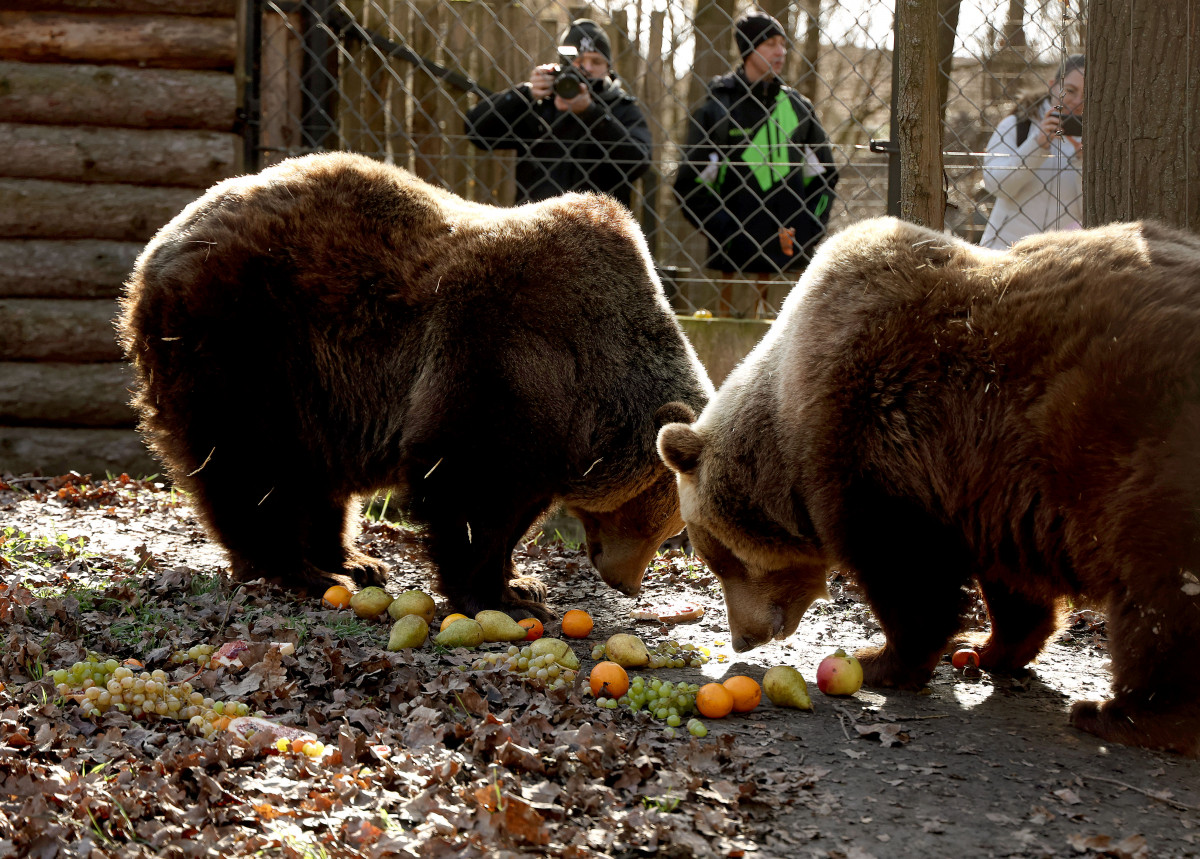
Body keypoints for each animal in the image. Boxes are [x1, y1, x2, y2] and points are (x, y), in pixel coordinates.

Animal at [119, 152, 710, 619]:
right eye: (661, 518)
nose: (625, 583)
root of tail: (159, 245)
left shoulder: (550, 436)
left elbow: (515, 507)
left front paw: (522, 582)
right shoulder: (498, 348)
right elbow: (466, 484)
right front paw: (496, 596)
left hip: (311, 388)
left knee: (314, 473)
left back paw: (355, 560)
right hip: (244, 337)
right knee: (250, 462)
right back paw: (302, 570)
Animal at [662, 215, 1200, 758]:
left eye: (718, 558)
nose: (741, 639)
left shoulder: (875, 436)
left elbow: (907, 572)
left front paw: (882, 659)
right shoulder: (995, 487)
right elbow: (1011, 583)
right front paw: (987, 647)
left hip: (1139, 445)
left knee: (1161, 590)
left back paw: (1121, 713)